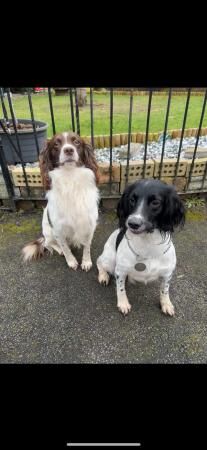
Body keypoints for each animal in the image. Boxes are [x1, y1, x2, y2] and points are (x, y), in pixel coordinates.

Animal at [22, 131, 100, 270]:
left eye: (76, 142)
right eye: (56, 144)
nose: (68, 150)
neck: (70, 177)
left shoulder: (89, 225)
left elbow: (87, 247)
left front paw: (86, 262)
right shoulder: (58, 229)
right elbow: (65, 247)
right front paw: (71, 261)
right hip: (49, 232)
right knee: (48, 244)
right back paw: (59, 250)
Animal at [96, 178, 185, 316]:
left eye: (155, 202)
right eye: (132, 200)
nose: (133, 223)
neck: (147, 243)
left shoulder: (167, 273)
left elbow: (165, 290)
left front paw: (166, 304)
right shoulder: (120, 270)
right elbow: (120, 289)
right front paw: (123, 303)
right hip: (110, 260)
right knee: (99, 262)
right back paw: (103, 276)